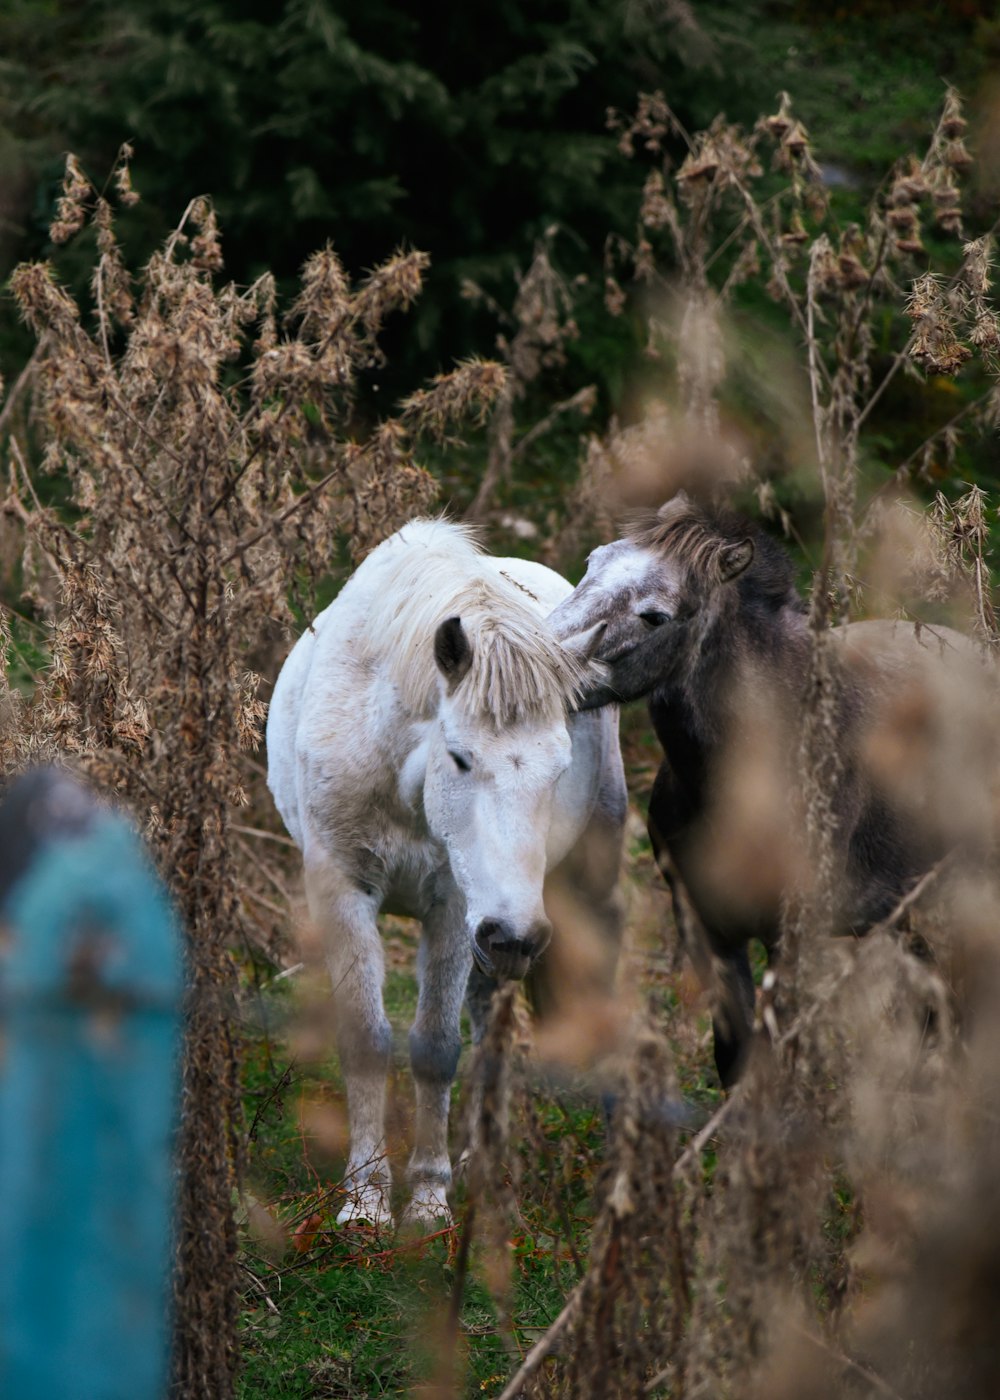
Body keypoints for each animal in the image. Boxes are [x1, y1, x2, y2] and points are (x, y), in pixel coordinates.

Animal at [264, 523, 621, 1226]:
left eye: (561, 766)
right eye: (459, 757)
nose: (515, 935)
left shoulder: (456, 909)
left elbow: (435, 1046)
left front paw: (428, 1199)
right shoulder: (343, 893)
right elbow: (367, 1038)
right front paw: (366, 1201)